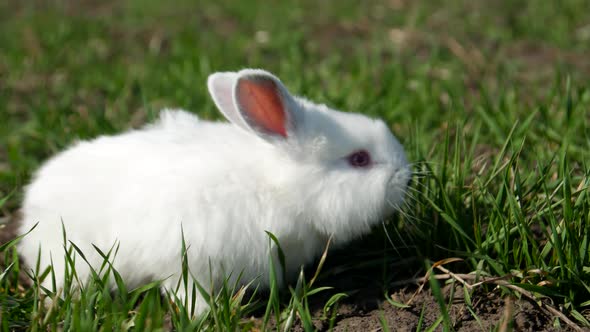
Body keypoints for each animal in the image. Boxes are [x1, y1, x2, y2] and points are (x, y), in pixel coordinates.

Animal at [16, 68, 410, 314]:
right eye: (359, 159)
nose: (405, 174)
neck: (275, 187)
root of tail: (34, 198)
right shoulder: (184, 258)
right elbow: (186, 291)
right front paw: (204, 314)